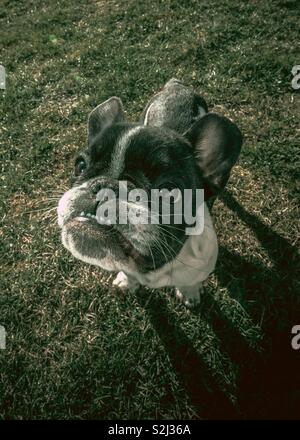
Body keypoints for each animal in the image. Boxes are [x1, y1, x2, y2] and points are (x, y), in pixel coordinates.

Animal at [57, 80, 243, 306]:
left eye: (169, 192)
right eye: (80, 166)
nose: (105, 186)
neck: (153, 270)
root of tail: (177, 86)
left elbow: (190, 283)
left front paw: (189, 292)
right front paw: (126, 281)